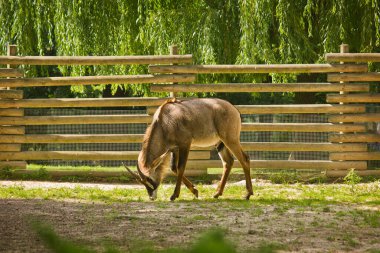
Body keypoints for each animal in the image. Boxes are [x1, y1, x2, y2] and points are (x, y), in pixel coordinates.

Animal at [124, 98, 252, 201]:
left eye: (149, 180)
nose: (152, 197)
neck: (164, 121)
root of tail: (234, 109)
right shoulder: (174, 149)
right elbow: (174, 168)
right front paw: (195, 191)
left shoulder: (185, 144)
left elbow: (181, 168)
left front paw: (174, 195)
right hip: (220, 143)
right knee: (228, 162)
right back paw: (217, 194)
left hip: (230, 139)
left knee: (244, 159)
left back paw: (247, 194)